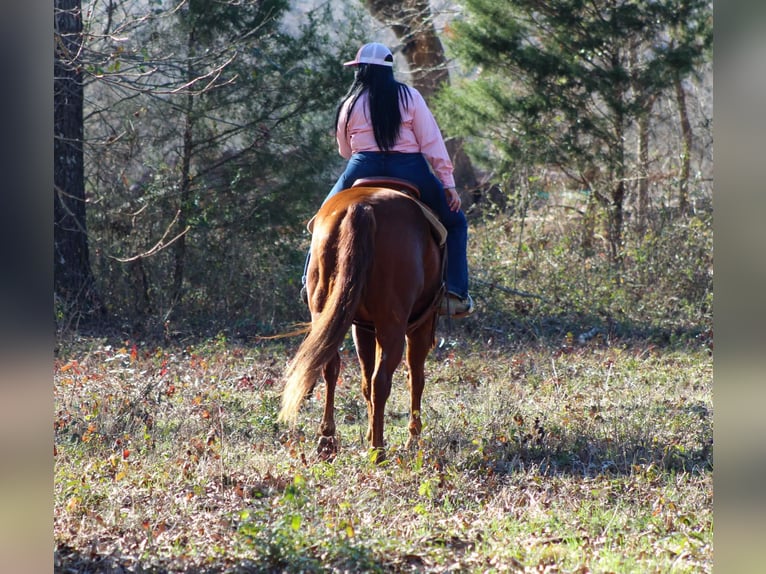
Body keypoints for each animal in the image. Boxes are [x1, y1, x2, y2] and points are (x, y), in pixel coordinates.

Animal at [280, 180, 448, 464]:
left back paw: (327, 440)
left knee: (331, 367)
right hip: (393, 324)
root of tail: (361, 207)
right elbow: (415, 377)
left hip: (325, 309)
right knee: (382, 380)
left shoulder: (362, 328)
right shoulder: (420, 325)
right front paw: (412, 439)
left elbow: (364, 380)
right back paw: (377, 451)